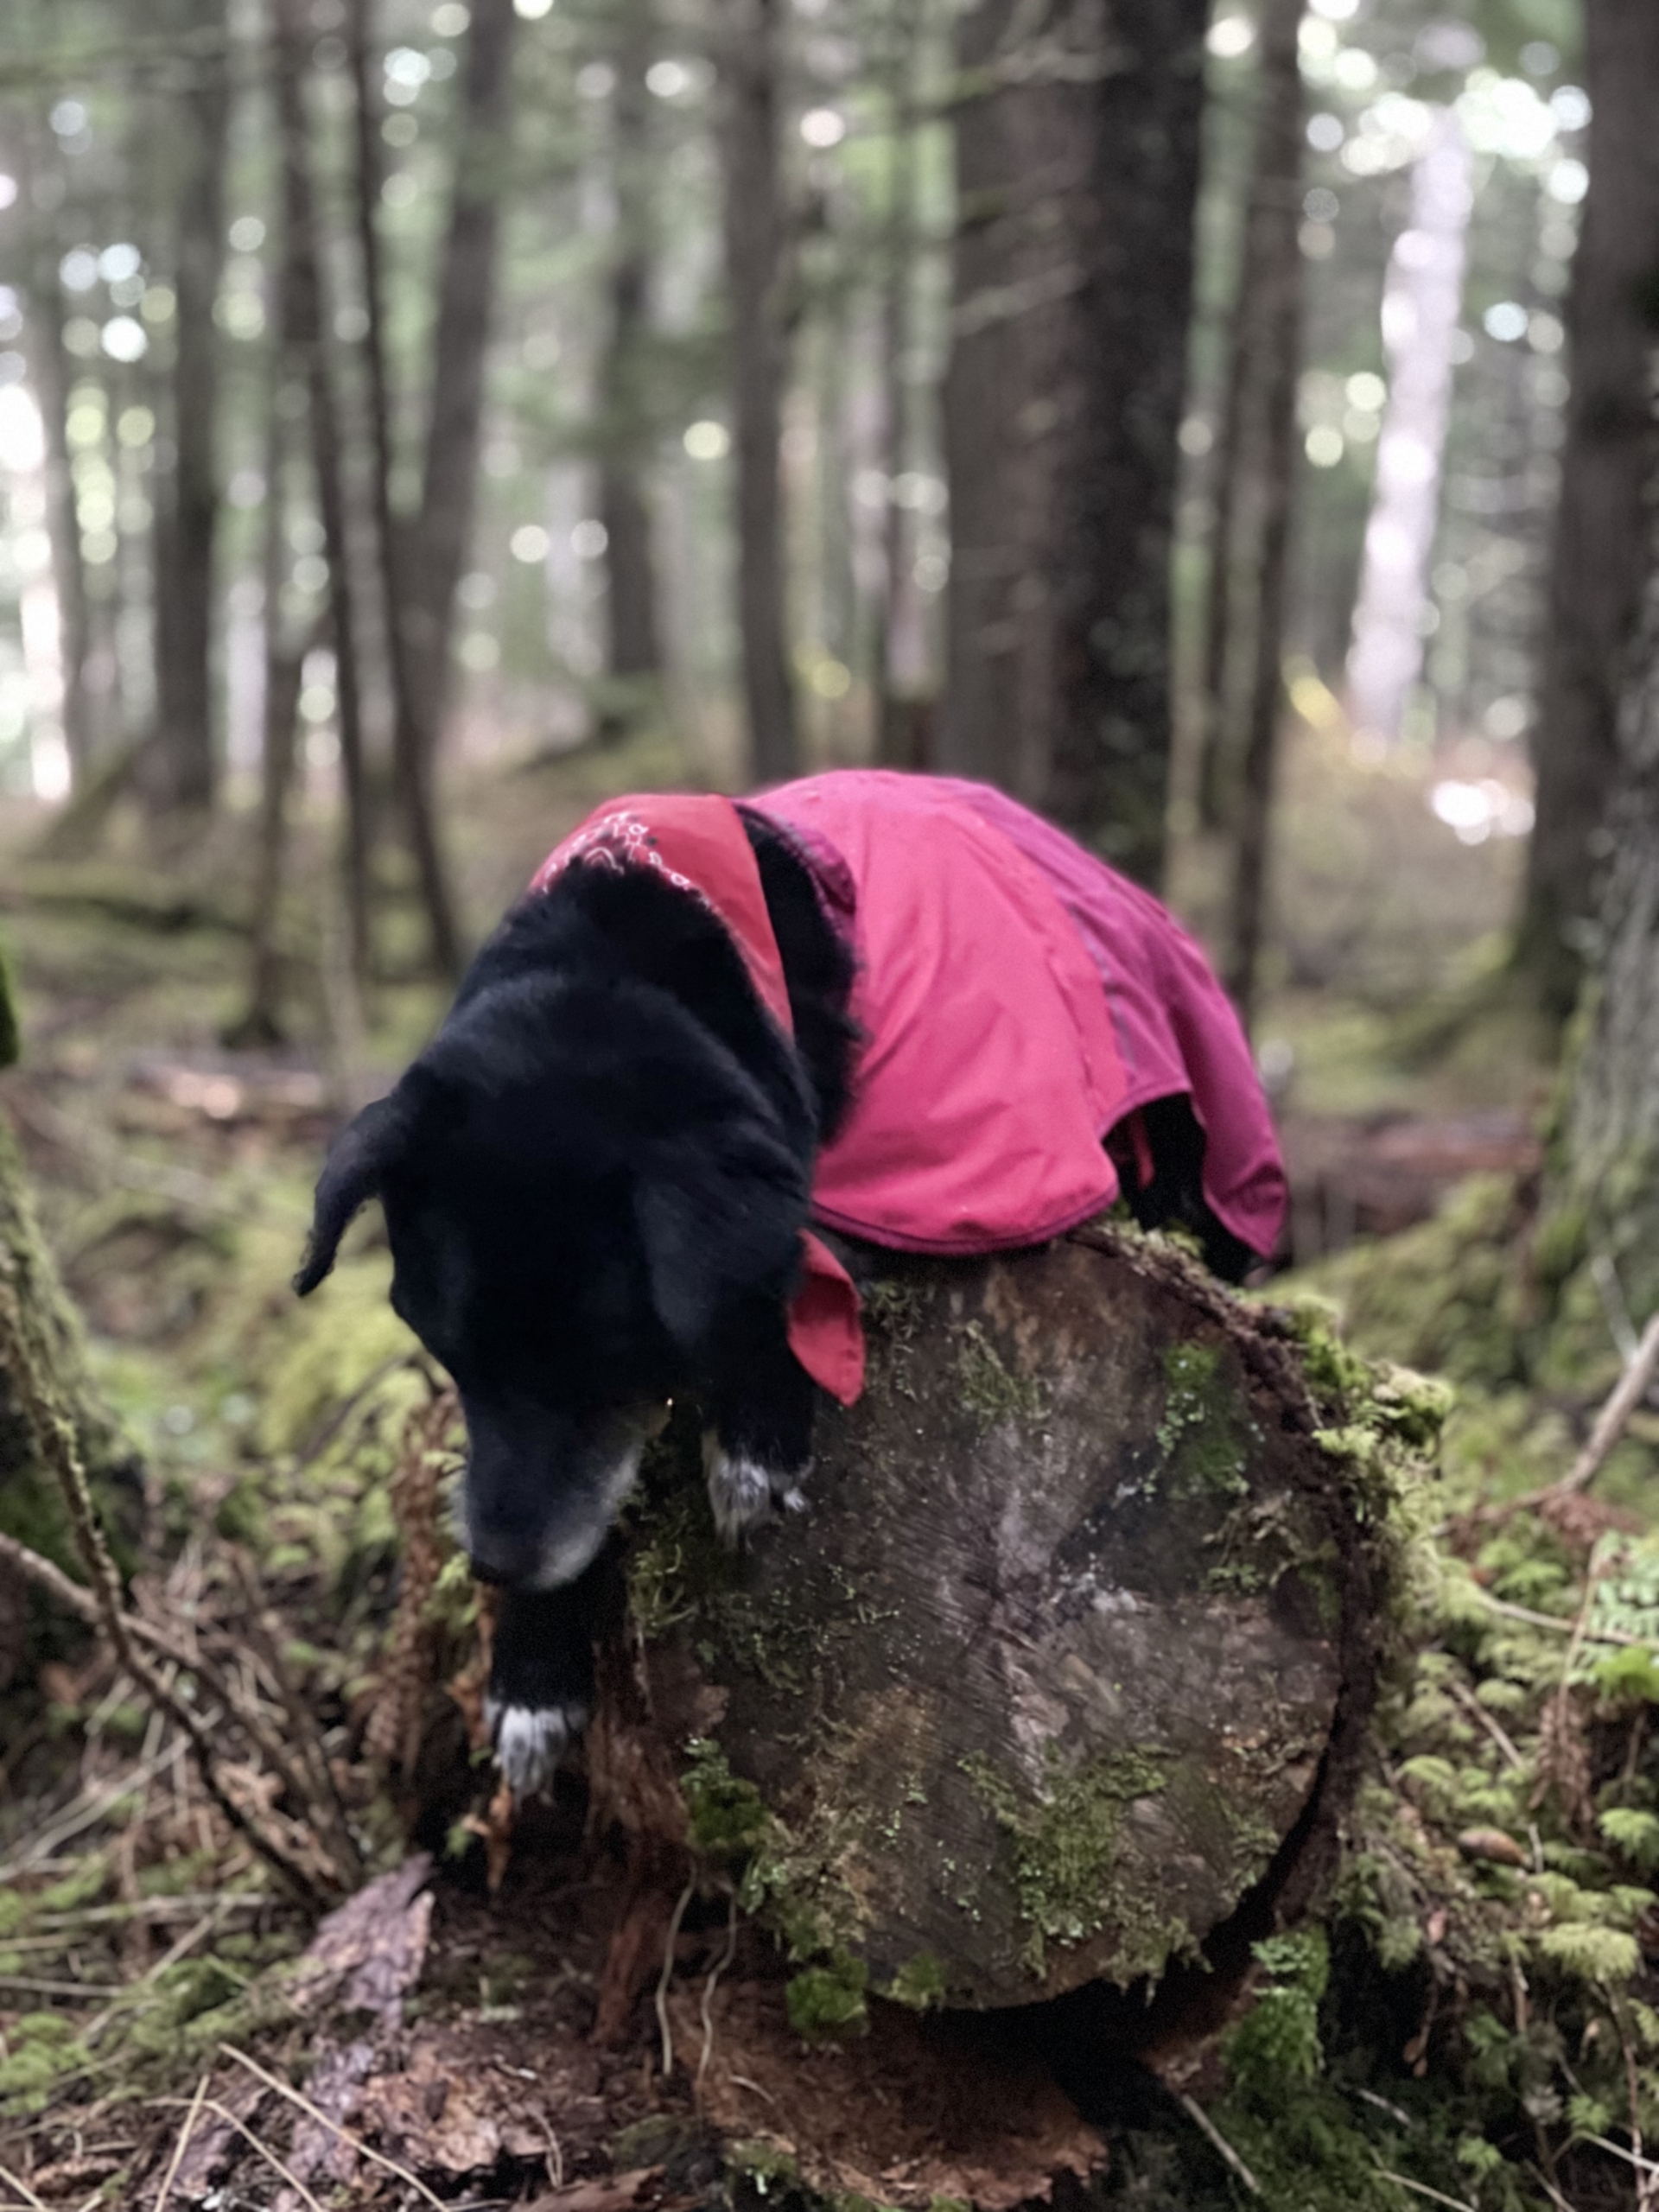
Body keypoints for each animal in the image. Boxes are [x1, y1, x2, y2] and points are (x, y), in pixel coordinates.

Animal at [298, 804, 1256, 1787]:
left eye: (603, 1365)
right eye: (448, 1354)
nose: (494, 1566)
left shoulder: (931, 1186)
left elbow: (788, 1266)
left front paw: (755, 1437)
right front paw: (532, 1674)